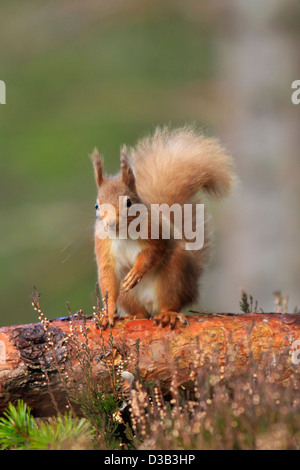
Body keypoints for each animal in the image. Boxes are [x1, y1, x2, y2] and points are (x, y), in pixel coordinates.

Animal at [91, 126, 234, 328]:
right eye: (96, 205)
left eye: (128, 202)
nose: (110, 223)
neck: (122, 233)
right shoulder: (103, 247)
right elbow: (108, 280)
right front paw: (107, 314)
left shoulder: (155, 232)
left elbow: (155, 251)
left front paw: (137, 272)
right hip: (129, 297)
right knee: (140, 312)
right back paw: (132, 316)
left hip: (173, 277)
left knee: (170, 303)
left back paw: (168, 315)